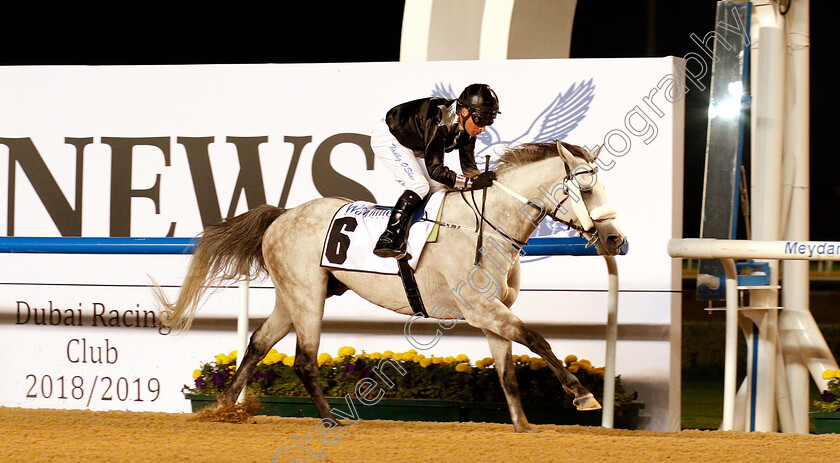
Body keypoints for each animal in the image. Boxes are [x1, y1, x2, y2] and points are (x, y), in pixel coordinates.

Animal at [156, 140, 624, 432]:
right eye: (586, 189)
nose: (615, 240)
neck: (489, 224)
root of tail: (282, 216)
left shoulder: (492, 313)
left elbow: (508, 372)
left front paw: (524, 425)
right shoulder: (480, 308)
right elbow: (538, 340)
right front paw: (583, 396)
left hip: (294, 297)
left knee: (257, 343)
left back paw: (223, 408)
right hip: (307, 298)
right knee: (304, 360)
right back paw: (331, 419)